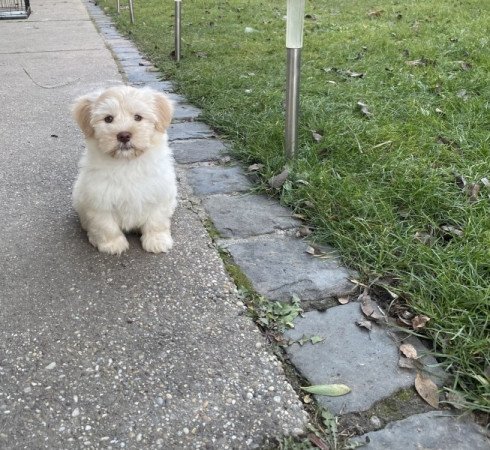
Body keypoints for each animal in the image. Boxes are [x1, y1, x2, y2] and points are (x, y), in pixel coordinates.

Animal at [72, 84, 177, 253]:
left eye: (138, 117)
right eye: (108, 119)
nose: (124, 135)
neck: (127, 163)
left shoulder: (159, 192)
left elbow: (156, 220)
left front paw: (157, 240)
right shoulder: (99, 200)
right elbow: (106, 225)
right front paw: (113, 244)